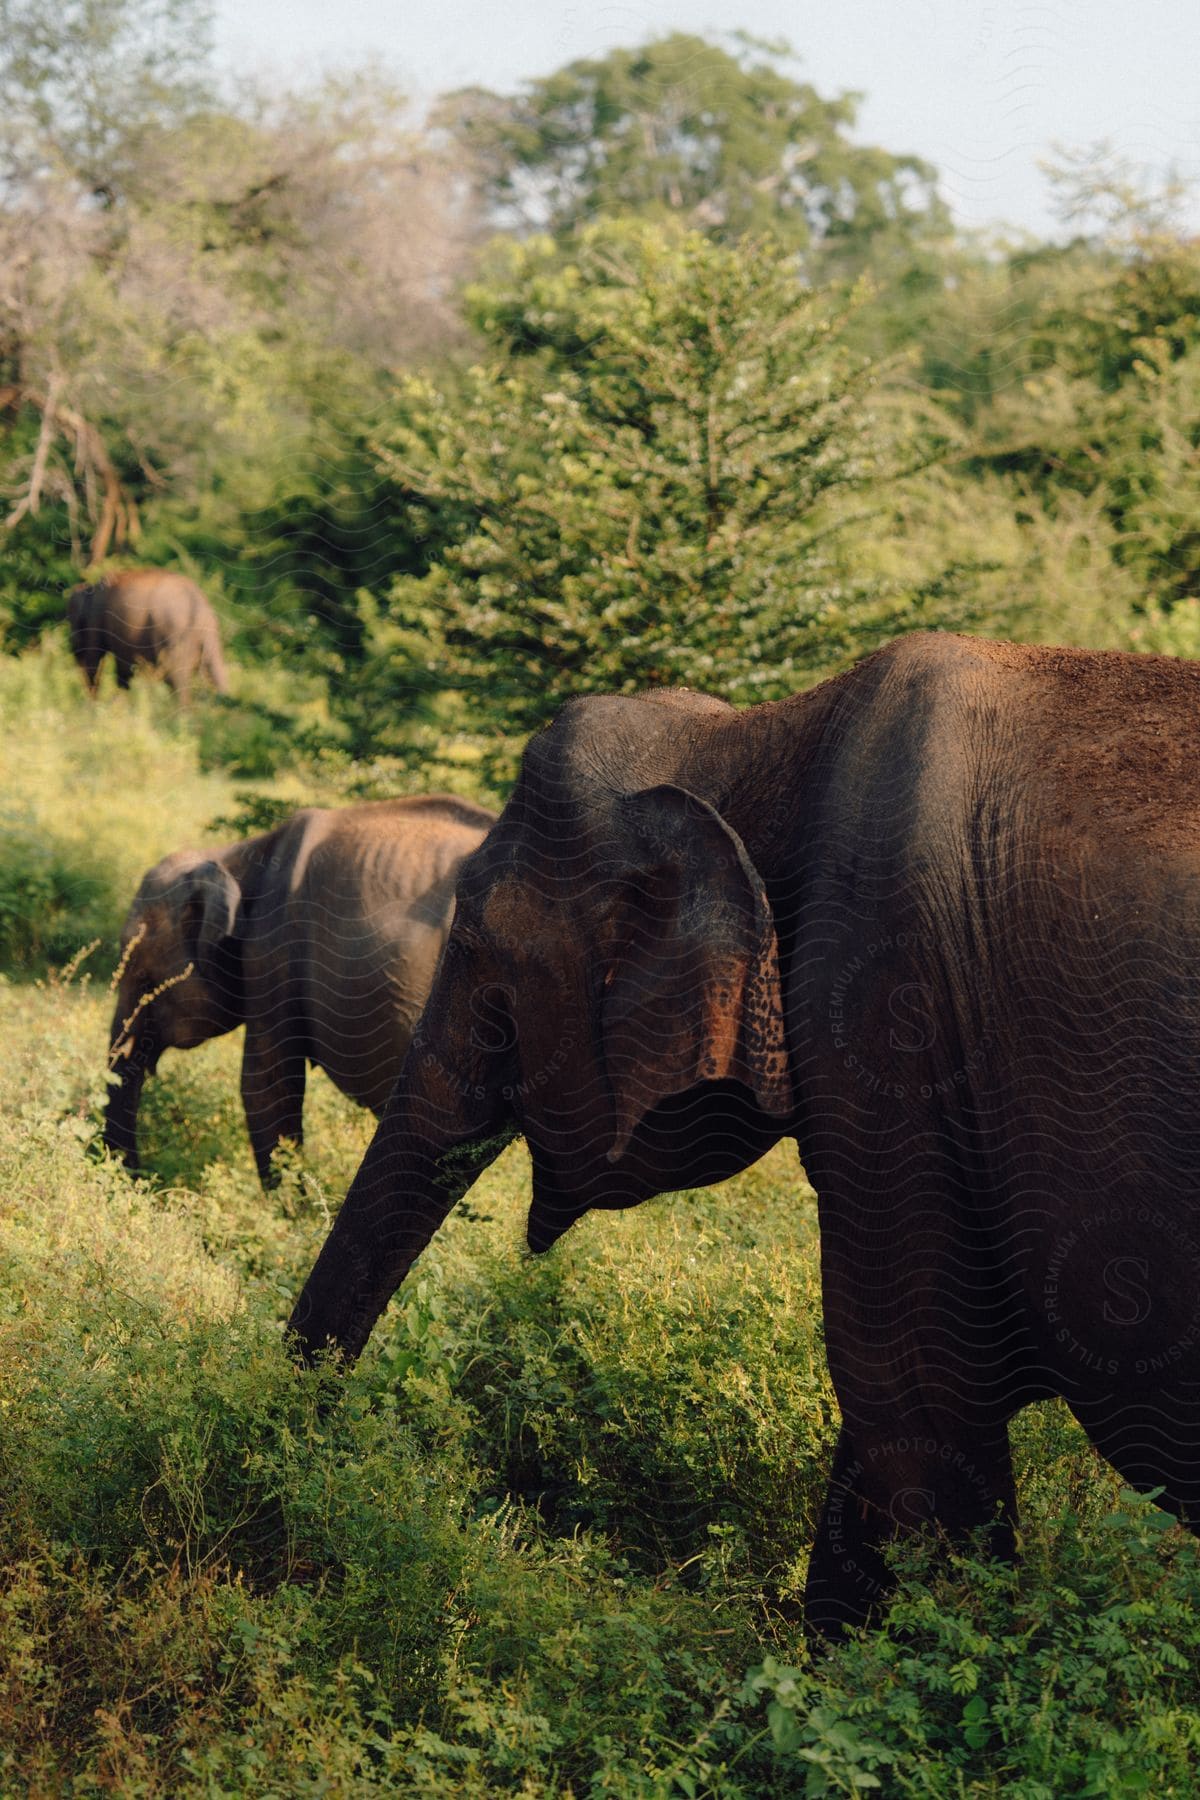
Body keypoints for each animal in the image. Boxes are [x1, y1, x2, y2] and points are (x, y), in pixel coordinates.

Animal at [67, 568, 230, 702]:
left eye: (70, 620)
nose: (72, 645)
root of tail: (201, 608)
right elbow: (123, 667)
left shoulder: (97, 619)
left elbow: (94, 657)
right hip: (212, 638)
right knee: (217, 674)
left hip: (174, 636)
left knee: (177, 680)